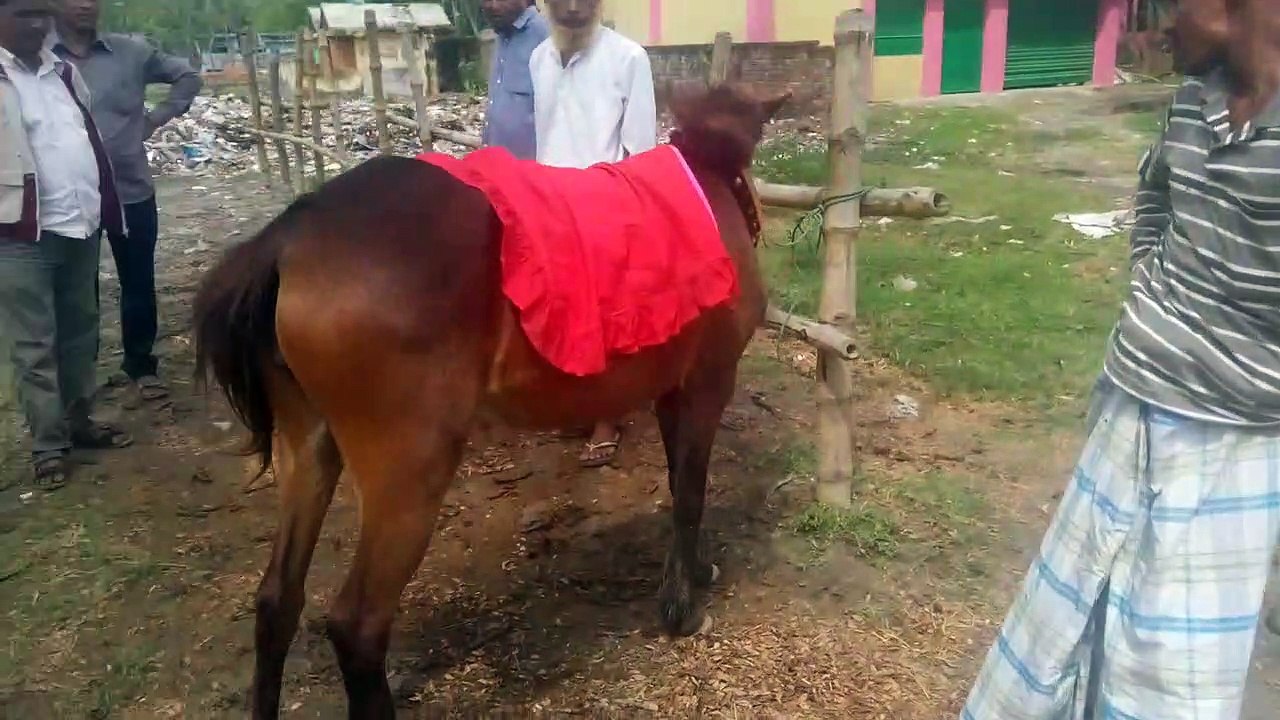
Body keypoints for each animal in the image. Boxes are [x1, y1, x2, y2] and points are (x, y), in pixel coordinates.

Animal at [193, 83, 789, 719]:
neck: (706, 184)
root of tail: (291, 234)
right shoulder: (707, 382)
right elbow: (692, 493)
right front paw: (683, 607)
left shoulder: (673, 391)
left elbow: (681, 483)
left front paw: (693, 574)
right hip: (409, 470)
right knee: (357, 625)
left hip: (307, 447)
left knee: (276, 599)